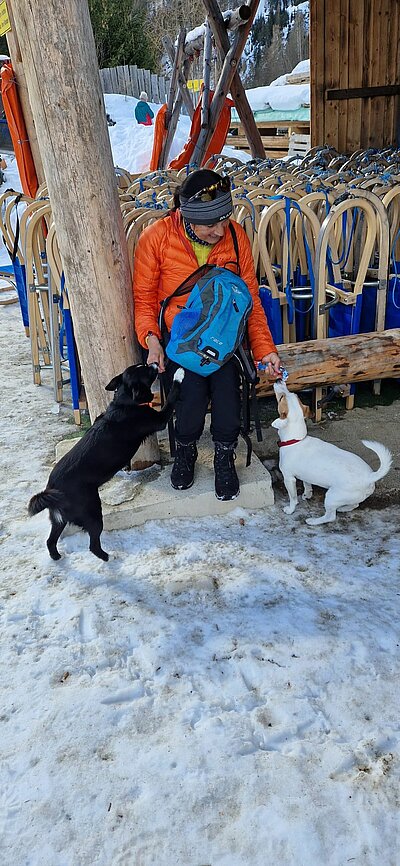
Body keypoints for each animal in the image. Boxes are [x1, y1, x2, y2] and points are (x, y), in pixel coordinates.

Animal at [28, 362, 184, 560]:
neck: (126, 401)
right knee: (93, 545)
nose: (155, 363)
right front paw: (179, 374)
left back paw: (57, 557)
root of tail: (52, 488)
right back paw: (109, 557)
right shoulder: (160, 419)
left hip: (60, 520)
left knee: (50, 541)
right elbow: (171, 396)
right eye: (147, 370)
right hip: (93, 513)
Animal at [270, 380, 392, 528]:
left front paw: (290, 509)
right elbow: (307, 485)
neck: (297, 440)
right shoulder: (305, 475)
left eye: (281, 397)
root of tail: (370, 476)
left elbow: (293, 498)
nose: (279, 380)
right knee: (355, 505)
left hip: (332, 497)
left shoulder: (288, 478)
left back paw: (314, 521)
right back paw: (343, 508)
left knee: (330, 516)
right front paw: (307, 495)